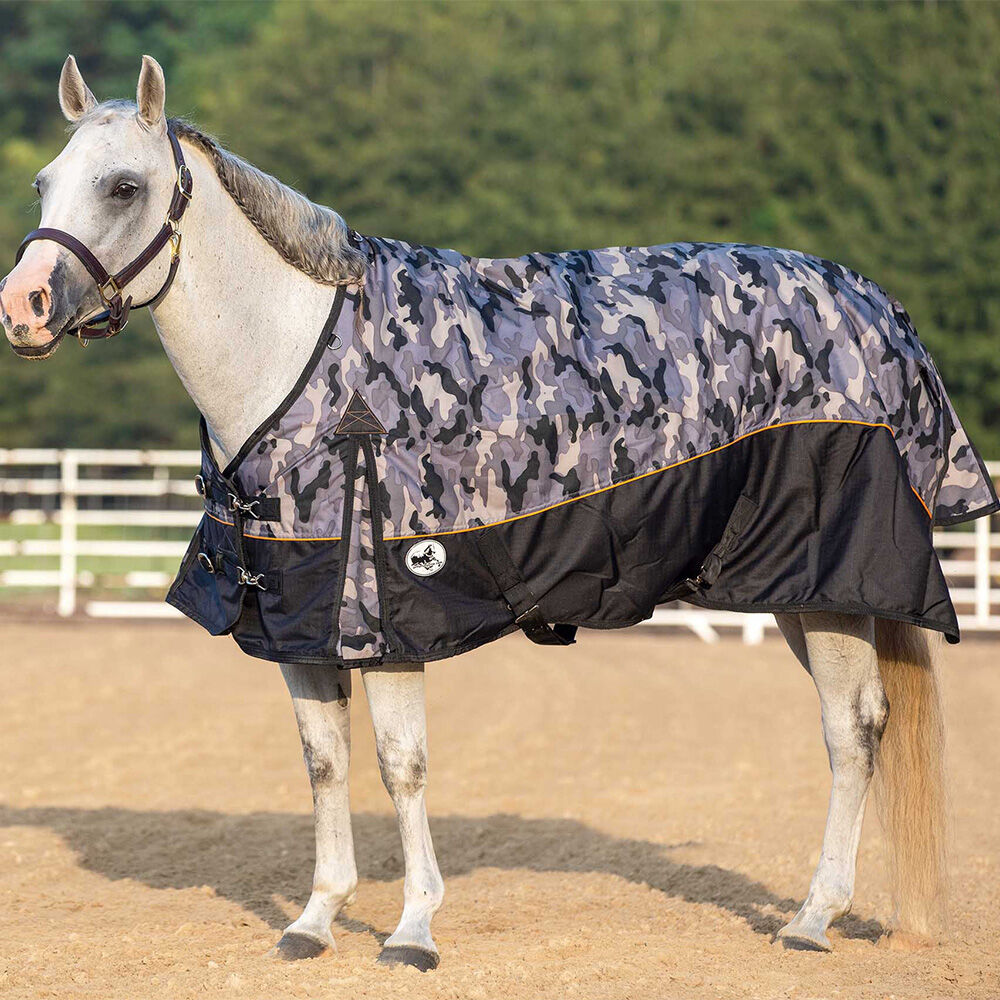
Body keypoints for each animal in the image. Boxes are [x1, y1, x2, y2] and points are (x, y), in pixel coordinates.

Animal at [0, 55, 967, 969]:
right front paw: (315, 920)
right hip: (798, 591)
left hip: (829, 586)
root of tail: (878, 308)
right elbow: (324, 763)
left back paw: (812, 920)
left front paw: (412, 930)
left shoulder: (385, 616)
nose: (23, 308)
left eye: (124, 186)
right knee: (858, 726)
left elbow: (400, 766)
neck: (303, 362)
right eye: (46, 181)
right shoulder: (296, 618)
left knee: (851, 731)